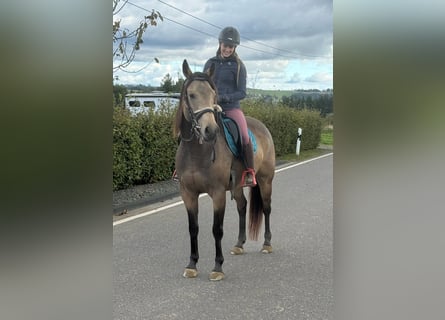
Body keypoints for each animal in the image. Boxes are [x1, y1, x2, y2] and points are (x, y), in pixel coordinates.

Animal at [173, 59, 274, 280]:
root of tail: (263, 127)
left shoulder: (218, 193)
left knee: (267, 208)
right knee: (242, 206)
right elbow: (193, 228)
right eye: (191, 94)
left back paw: (267, 244)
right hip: (237, 187)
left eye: (214, 95)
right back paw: (239, 244)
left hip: (265, 181)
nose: (210, 131)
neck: (197, 152)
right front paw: (192, 264)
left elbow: (216, 229)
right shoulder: (188, 193)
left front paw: (217, 267)